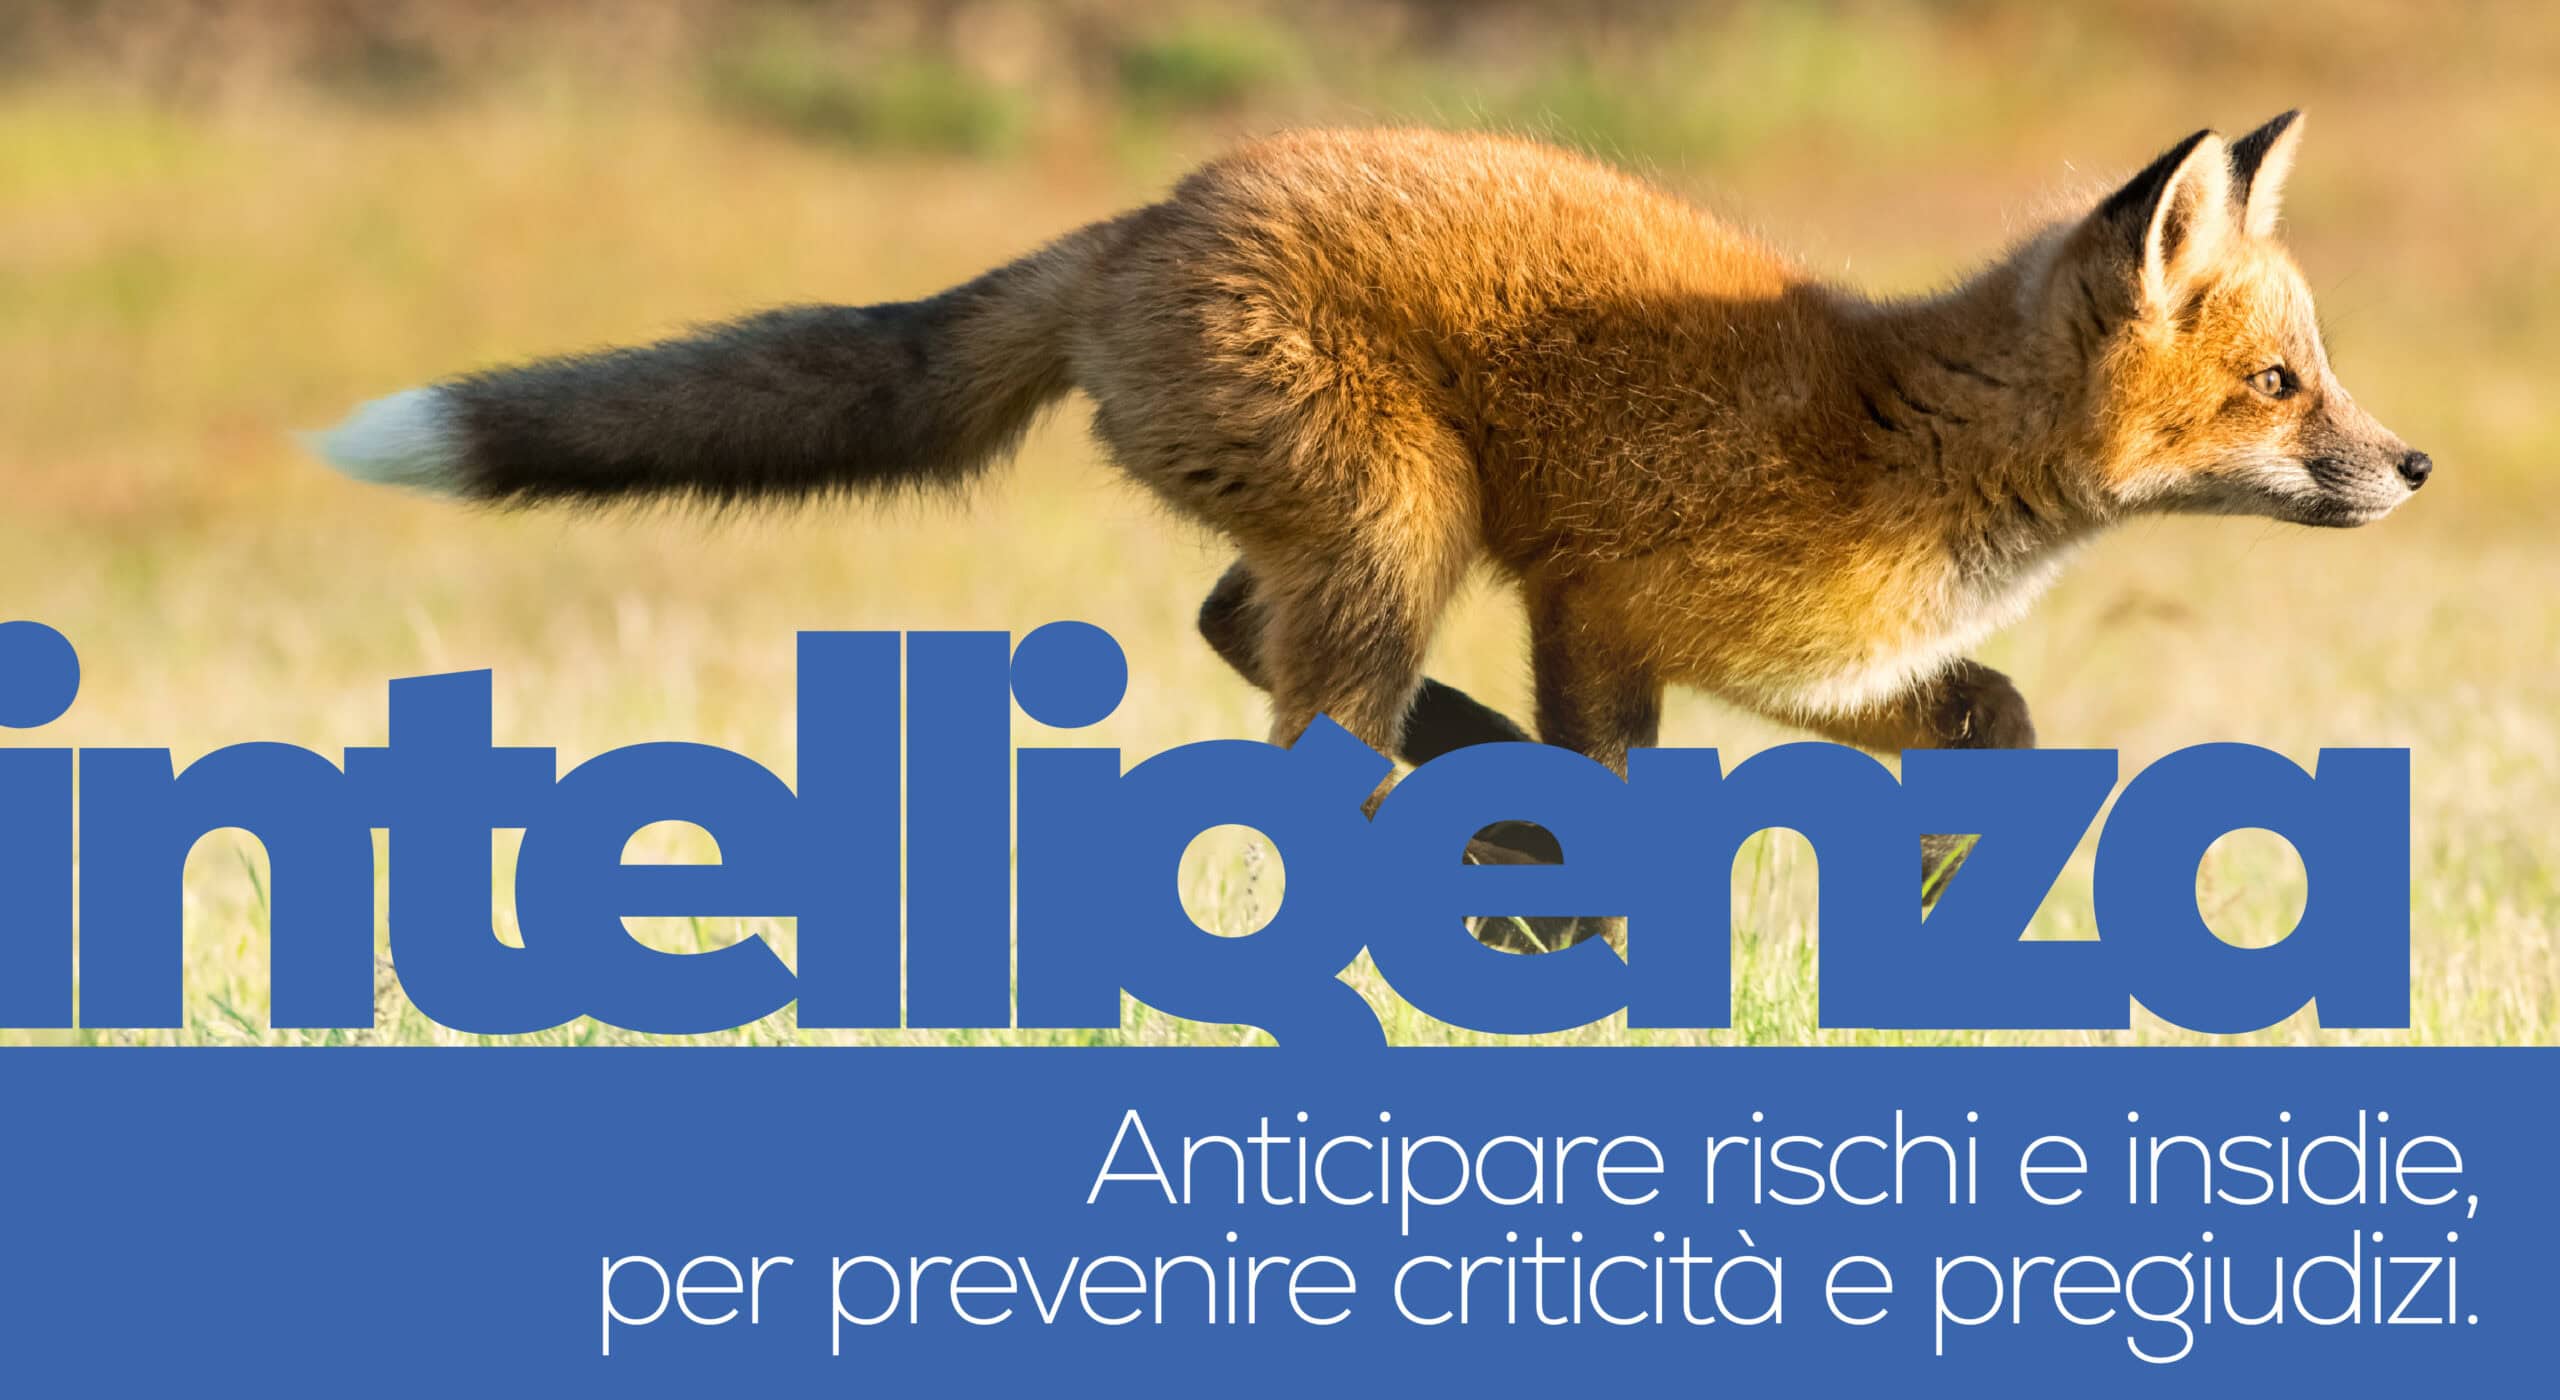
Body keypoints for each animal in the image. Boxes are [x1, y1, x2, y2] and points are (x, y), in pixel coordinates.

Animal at [311, 112, 2426, 921]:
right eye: (2281, 388)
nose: (2412, 470)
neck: (1904, 438)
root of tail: (1150, 216)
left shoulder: (1822, 670)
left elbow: (2007, 725)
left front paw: (1935, 888)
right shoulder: (1600, 602)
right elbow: (1625, 806)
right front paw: (1588, 950)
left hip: (1364, 537)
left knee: (1236, 632)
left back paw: (1462, 803)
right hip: (1403, 520)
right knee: (1291, 732)